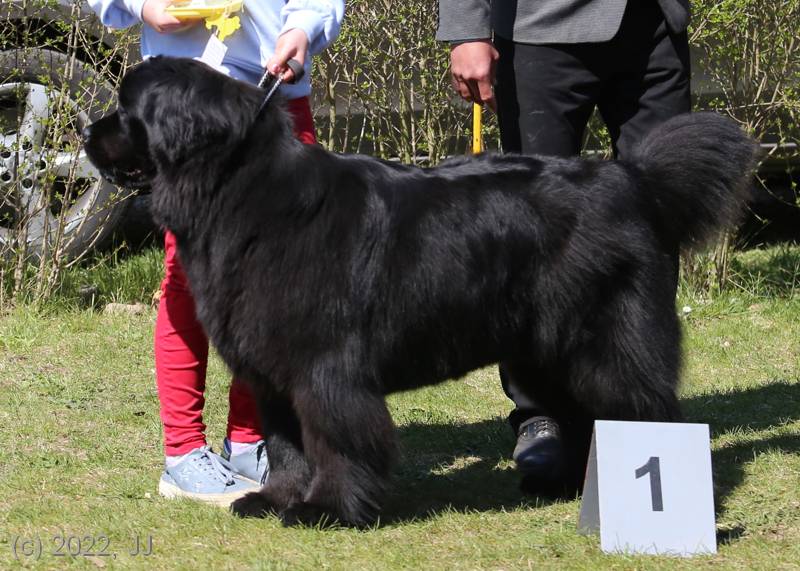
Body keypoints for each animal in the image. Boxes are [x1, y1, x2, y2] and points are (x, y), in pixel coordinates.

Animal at [83, 56, 756, 527]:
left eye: (124, 109)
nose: (88, 131)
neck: (235, 189)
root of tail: (633, 177)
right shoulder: (273, 372)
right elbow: (285, 442)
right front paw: (276, 500)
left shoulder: (324, 367)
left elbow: (332, 439)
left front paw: (327, 509)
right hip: (545, 348)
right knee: (575, 412)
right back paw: (567, 484)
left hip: (605, 343)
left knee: (641, 408)